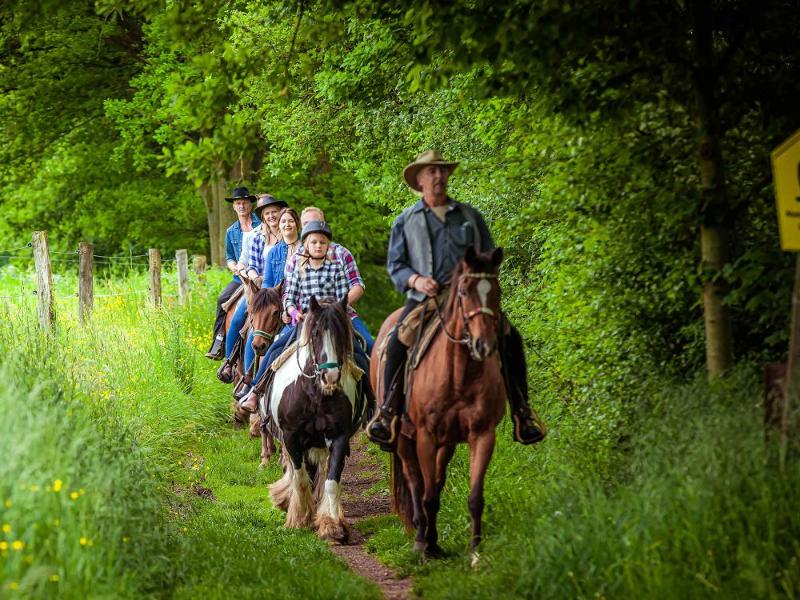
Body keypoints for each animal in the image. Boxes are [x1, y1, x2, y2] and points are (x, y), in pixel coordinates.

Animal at [266, 296, 372, 544]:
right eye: (314, 333)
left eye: (342, 333)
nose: (330, 376)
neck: (315, 394)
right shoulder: (291, 436)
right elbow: (300, 477)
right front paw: (299, 519)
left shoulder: (339, 437)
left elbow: (331, 481)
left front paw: (333, 526)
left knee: (320, 472)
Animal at [370, 245, 506, 564]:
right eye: (464, 291)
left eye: (497, 291)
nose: (484, 345)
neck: (458, 374)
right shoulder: (426, 436)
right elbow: (426, 493)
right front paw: (426, 546)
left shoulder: (481, 434)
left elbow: (474, 495)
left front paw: (475, 550)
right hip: (403, 437)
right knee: (415, 480)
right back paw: (421, 534)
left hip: (446, 441)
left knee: (436, 479)